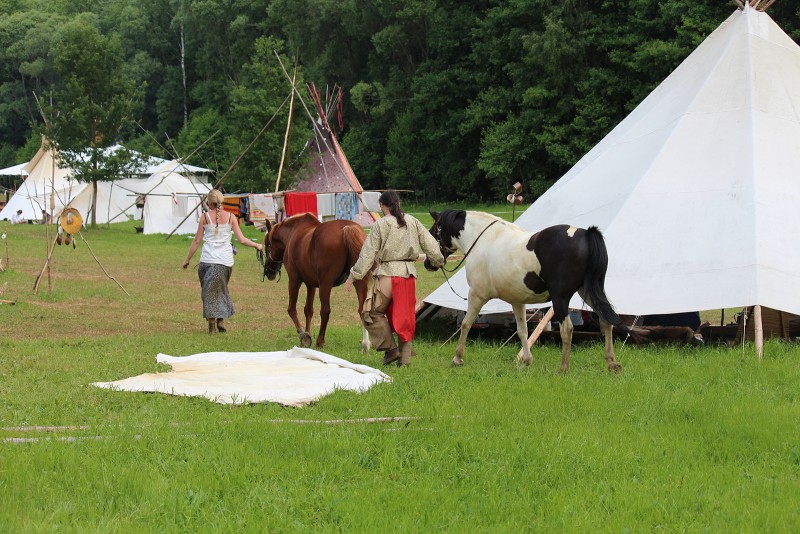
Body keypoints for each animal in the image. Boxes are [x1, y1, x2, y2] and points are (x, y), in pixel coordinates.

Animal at [264, 214, 374, 352]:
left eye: (267, 244)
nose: (268, 272)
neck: (293, 232)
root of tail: (347, 228)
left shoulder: (294, 280)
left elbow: (291, 309)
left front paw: (304, 335)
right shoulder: (311, 285)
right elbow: (308, 310)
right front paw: (307, 333)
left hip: (325, 284)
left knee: (325, 311)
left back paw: (320, 341)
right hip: (358, 281)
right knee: (362, 310)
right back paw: (365, 344)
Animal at [428, 210, 628, 372]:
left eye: (433, 232)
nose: (428, 264)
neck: (482, 239)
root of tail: (585, 233)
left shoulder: (477, 296)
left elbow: (466, 324)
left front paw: (457, 358)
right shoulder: (517, 301)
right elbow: (522, 330)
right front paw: (526, 361)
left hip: (560, 299)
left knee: (567, 329)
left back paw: (563, 367)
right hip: (590, 292)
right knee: (606, 321)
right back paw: (611, 362)